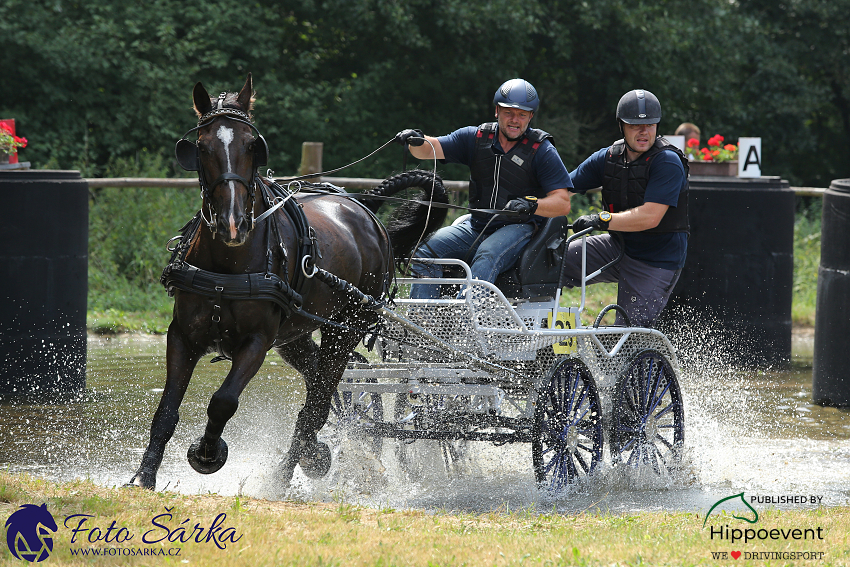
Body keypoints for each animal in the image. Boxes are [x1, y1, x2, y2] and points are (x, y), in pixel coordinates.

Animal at [128, 74, 448, 492]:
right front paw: (143, 477)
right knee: (320, 385)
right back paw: (320, 448)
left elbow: (223, 402)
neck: (228, 263)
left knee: (319, 400)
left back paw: (286, 472)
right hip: (297, 335)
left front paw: (207, 454)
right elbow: (167, 408)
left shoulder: (257, 342)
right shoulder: (183, 335)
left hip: (344, 330)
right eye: (201, 147)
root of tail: (364, 211)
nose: (233, 224)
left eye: (253, 146)